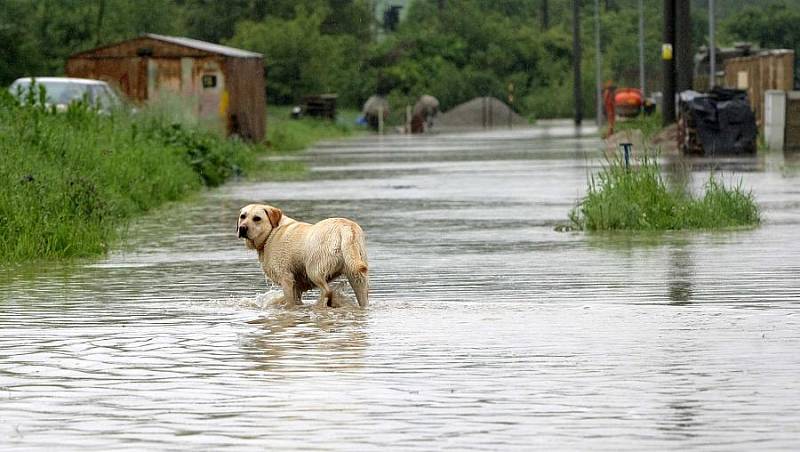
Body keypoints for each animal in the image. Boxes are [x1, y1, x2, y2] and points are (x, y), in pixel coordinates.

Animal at [236, 204, 370, 308]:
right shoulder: (297, 285)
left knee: (327, 291)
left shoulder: (286, 277)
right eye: (242, 216)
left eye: (257, 218)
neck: (271, 233)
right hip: (357, 275)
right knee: (363, 298)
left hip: (313, 268)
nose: (242, 228)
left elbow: (289, 301)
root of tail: (345, 226)